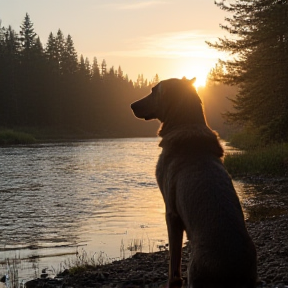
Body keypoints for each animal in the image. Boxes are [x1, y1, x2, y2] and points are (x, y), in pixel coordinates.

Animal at [130, 77, 256, 286]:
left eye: (154, 90)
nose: (132, 105)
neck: (185, 123)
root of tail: (233, 274)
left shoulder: (171, 212)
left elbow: (173, 263)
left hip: (194, 268)